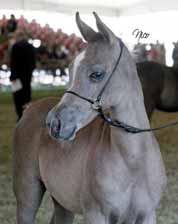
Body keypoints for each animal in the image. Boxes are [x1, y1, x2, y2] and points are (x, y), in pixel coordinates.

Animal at [13, 12, 166, 224]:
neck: (134, 162)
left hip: (62, 202)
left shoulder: (148, 215)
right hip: (27, 193)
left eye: (97, 74)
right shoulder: (96, 214)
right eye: (69, 70)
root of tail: (29, 109)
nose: (54, 123)